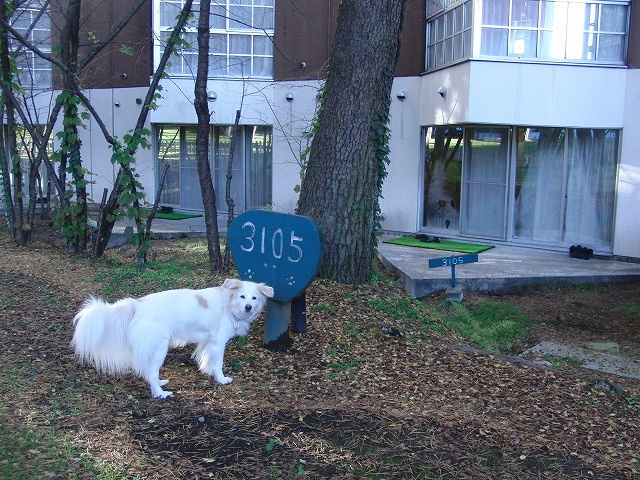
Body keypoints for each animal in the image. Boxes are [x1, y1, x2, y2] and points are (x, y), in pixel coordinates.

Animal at [71, 278, 274, 398]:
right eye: (242, 297)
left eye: (254, 298)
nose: (248, 307)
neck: (228, 304)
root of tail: (138, 304)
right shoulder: (218, 343)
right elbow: (218, 364)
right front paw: (221, 379)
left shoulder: (207, 341)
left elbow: (206, 359)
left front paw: (207, 370)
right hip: (159, 349)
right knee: (152, 373)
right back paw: (161, 393)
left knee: (149, 372)